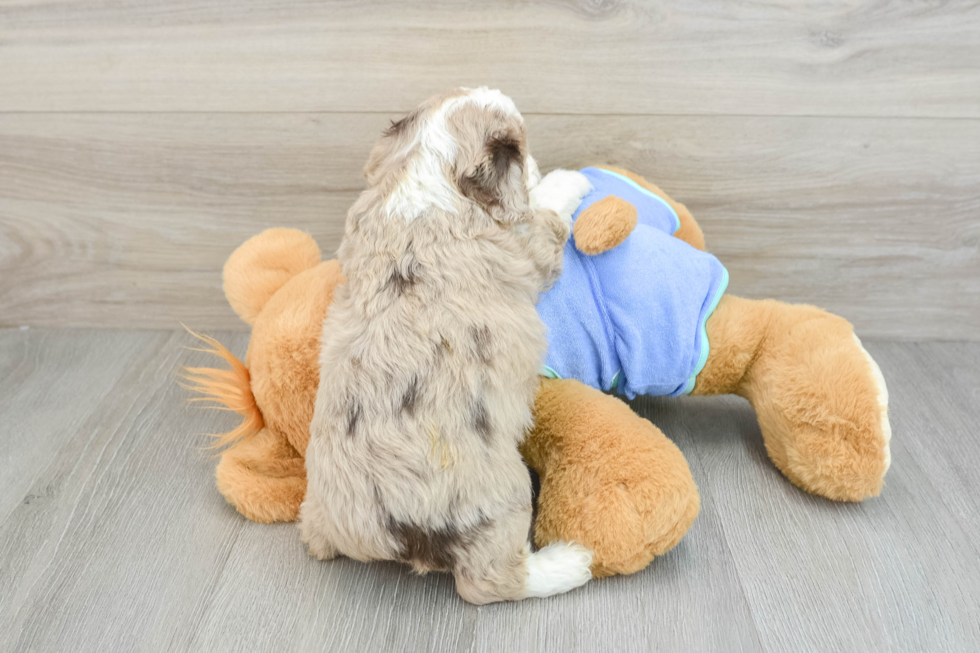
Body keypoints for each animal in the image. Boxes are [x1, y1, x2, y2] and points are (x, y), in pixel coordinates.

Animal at [298, 89, 588, 604]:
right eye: (522, 151)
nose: (537, 164)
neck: (426, 170)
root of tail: (385, 535)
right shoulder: (533, 242)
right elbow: (547, 210)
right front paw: (567, 178)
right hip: (502, 495)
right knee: (492, 581)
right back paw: (570, 562)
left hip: (318, 511)